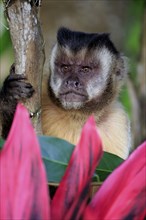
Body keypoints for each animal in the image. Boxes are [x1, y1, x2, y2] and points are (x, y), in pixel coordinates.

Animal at [0, 27, 131, 159]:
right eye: (65, 67)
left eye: (85, 69)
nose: (72, 82)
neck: (76, 115)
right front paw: (10, 96)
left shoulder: (118, 124)